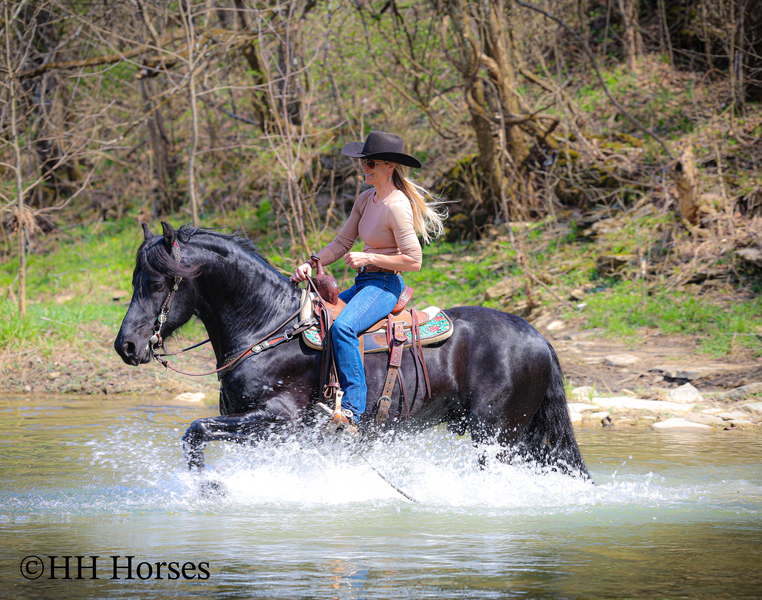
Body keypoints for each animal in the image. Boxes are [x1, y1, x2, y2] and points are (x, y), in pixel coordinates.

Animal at [114, 222, 590, 480]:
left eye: (155, 282)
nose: (127, 346)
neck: (269, 326)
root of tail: (536, 336)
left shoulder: (277, 421)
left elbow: (195, 431)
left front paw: (211, 490)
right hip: (518, 437)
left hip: (498, 437)